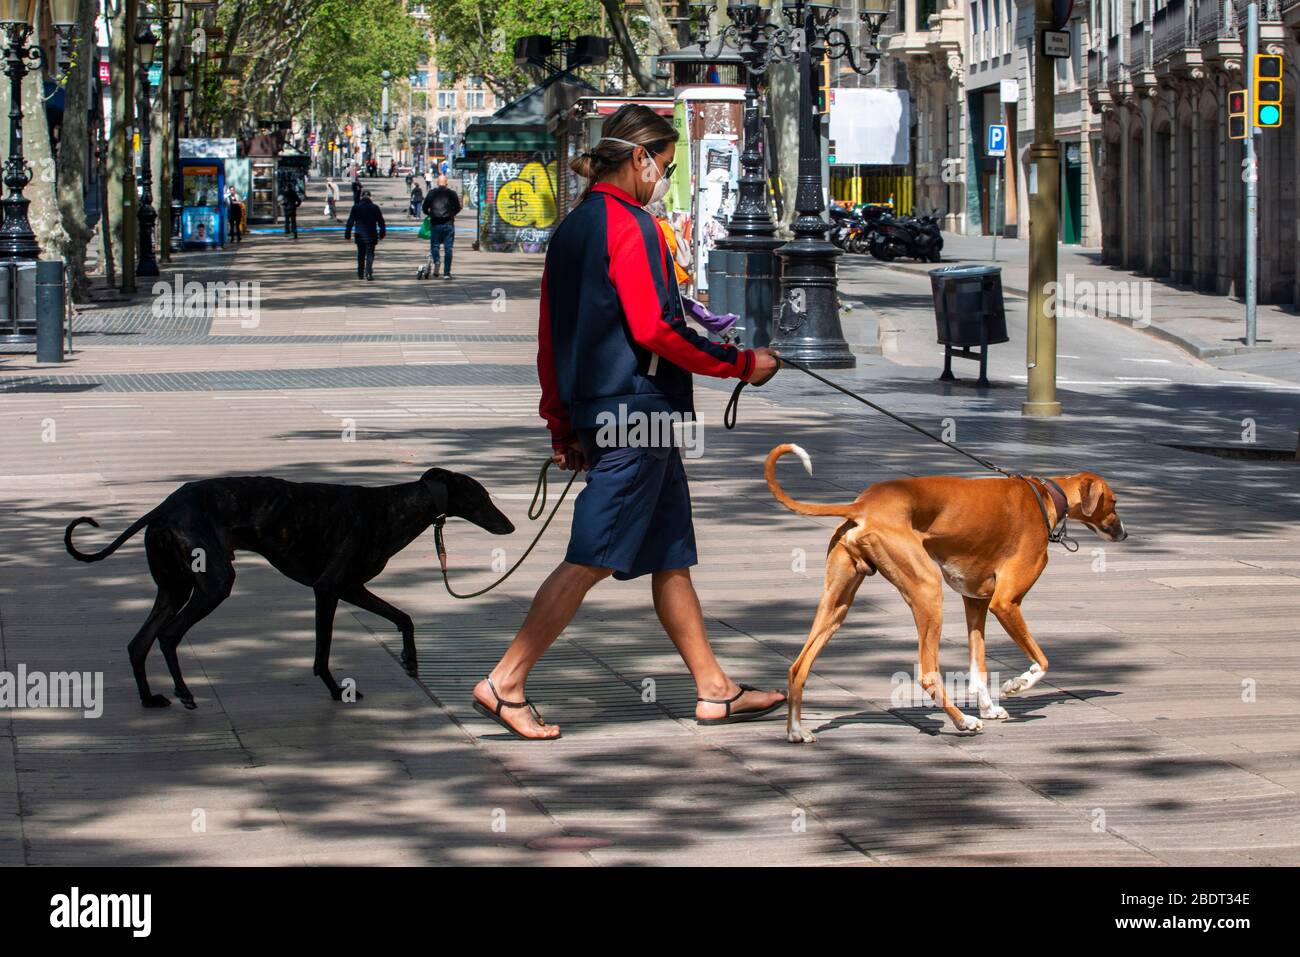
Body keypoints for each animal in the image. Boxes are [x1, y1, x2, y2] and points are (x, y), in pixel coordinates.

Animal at [65, 470, 512, 712]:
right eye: (484, 495)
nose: (509, 526)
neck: (391, 506)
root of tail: (163, 507)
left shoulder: (352, 587)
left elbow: (404, 618)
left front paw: (411, 660)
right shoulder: (329, 588)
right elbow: (322, 651)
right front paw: (335, 689)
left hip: (173, 587)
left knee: (138, 643)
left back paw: (150, 699)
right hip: (213, 584)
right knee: (168, 635)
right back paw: (185, 694)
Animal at [764, 444, 1123, 743]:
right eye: (1115, 503)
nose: (1125, 533)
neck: (1045, 496)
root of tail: (863, 504)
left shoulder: (976, 602)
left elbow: (978, 668)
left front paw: (988, 707)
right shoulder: (1006, 603)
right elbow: (1043, 662)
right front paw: (1017, 684)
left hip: (837, 605)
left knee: (798, 666)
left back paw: (795, 731)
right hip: (928, 591)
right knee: (927, 674)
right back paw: (963, 722)